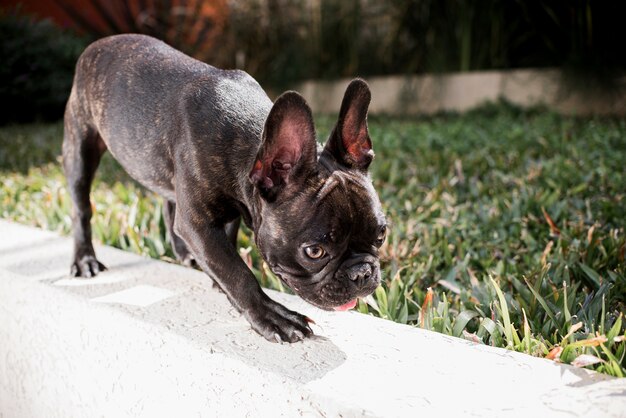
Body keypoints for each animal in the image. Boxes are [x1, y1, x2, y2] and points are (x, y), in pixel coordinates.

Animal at [64, 34, 386, 342]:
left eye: (381, 236)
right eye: (315, 251)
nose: (361, 273)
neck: (252, 143)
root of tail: (98, 44)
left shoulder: (229, 212)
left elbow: (226, 252)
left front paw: (217, 281)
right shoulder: (198, 225)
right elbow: (237, 272)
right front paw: (271, 316)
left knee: (169, 202)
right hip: (79, 149)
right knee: (81, 208)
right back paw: (85, 260)